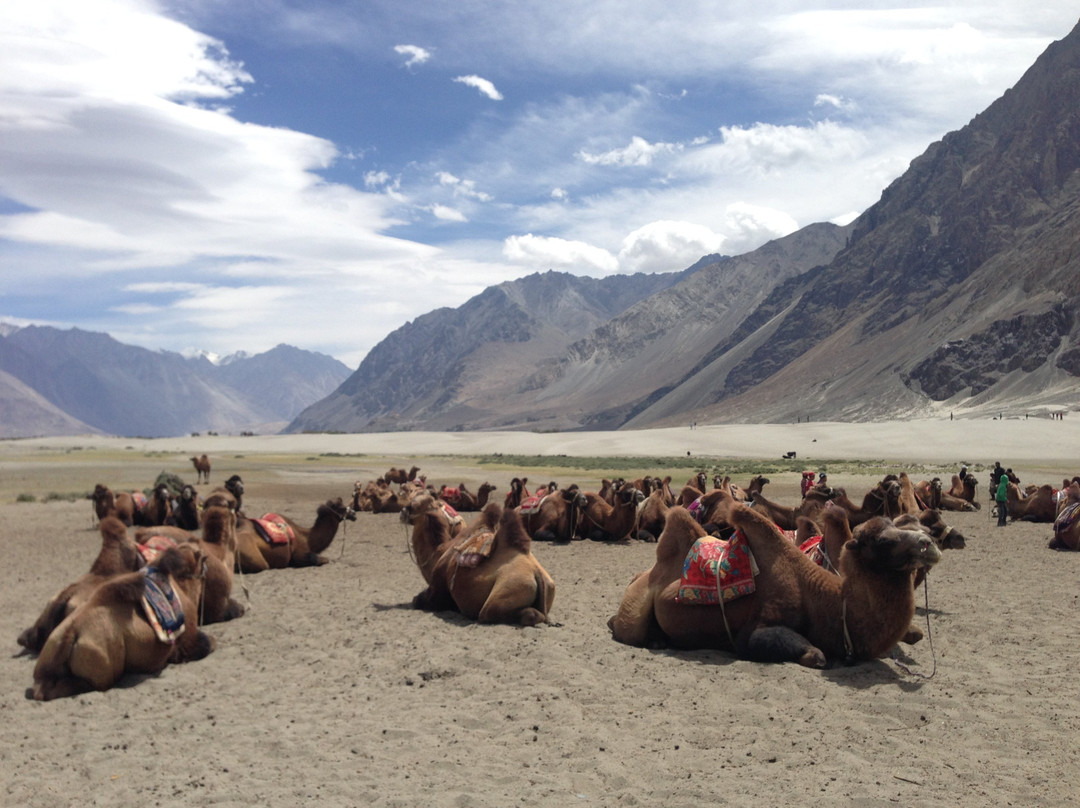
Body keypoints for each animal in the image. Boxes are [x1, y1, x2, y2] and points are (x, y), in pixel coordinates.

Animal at [29, 542, 213, 699]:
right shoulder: (188, 640)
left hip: (49, 651)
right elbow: (208, 644)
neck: (182, 586)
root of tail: (70, 633)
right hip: (100, 669)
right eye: (203, 559)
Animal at [403, 499, 557, 626]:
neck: (439, 551)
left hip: (508, 590)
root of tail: (537, 574)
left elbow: (418, 600)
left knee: (490, 613)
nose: (403, 510)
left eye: (414, 505)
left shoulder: (437, 591)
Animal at [613, 494, 941, 665]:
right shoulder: (757, 627)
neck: (825, 600)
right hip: (634, 613)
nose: (930, 544)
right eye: (884, 541)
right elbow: (814, 653)